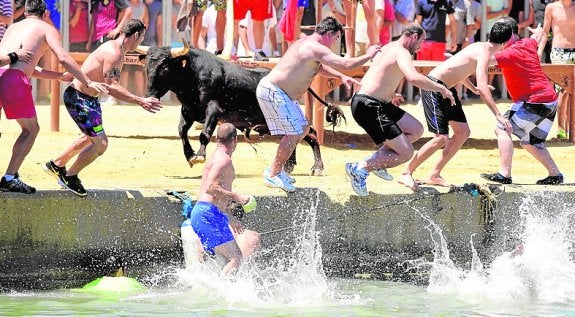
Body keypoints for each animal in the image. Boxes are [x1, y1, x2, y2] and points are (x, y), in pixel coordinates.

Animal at [142, 44, 344, 174]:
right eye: (148, 65)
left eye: (165, 65)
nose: (149, 93)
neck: (193, 73)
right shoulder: (188, 110)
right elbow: (181, 131)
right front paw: (190, 155)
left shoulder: (214, 109)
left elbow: (204, 134)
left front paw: (199, 155)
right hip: (270, 124)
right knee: (293, 136)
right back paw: (288, 165)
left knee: (311, 133)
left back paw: (317, 167)